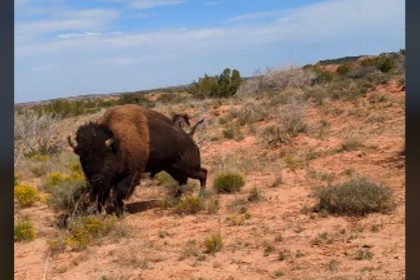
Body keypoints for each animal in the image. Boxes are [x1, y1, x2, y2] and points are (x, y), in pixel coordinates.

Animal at [67, 105, 208, 214]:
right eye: (83, 157)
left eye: (105, 155)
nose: (96, 179)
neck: (117, 145)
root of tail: (191, 141)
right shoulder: (105, 183)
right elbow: (102, 196)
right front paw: (101, 212)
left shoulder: (131, 174)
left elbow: (118, 192)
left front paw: (119, 211)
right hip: (174, 169)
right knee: (185, 180)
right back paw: (175, 199)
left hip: (188, 168)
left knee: (202, 174)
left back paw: (201, 196)